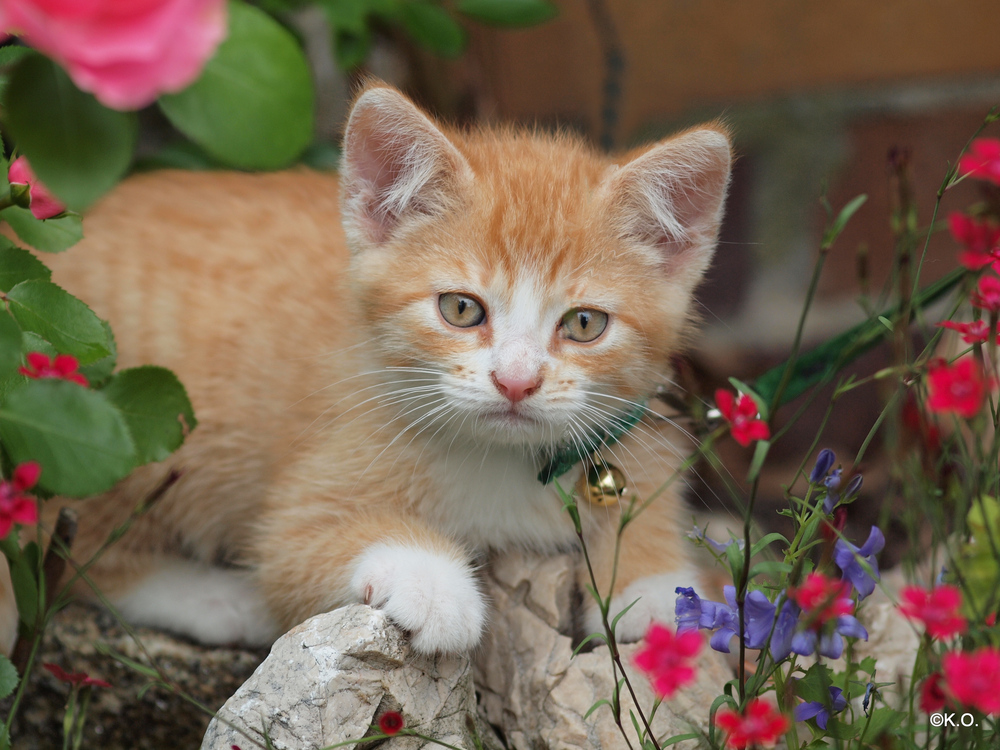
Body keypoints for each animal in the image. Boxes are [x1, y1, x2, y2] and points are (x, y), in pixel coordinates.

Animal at [25, 85, 728, 656]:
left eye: (584, 324)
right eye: (461, 309)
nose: (516, 381)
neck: (502, 464)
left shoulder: (643, 419)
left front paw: (663, 585)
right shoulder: (303, 496)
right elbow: (298, 546)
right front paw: (434, 585)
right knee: (69, 550)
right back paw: (215, 598)